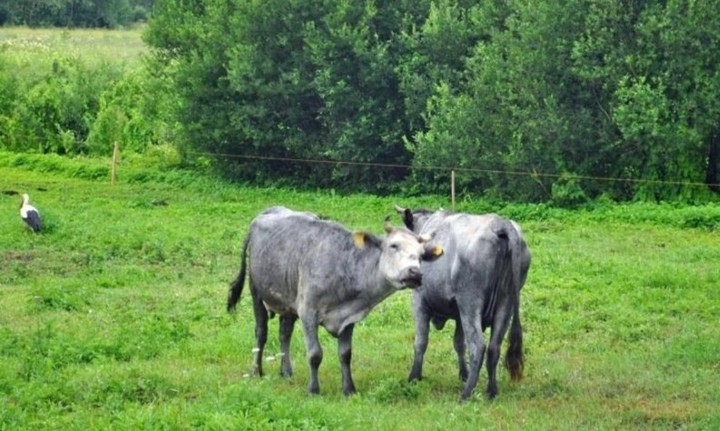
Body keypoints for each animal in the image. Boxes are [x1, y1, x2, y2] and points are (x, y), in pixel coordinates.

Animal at [227, 206, 444, 396]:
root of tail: (266, 212)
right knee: (261, 333)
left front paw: (349, 389)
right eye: (394, 245)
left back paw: (286, 371)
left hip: (288, 301)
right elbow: (315, 354)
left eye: (421, 255)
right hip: (256, 291)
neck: (343, 264)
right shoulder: (308, 312)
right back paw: (256, 370)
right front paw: (313, 390)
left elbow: (345, 354)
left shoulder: (349, 317)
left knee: (284, 334)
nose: (415, 273)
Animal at [395, 205, 531, 401]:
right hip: (506, 304)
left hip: (471, 303)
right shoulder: (459, 314)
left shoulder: (419, 301)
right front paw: (463, 374)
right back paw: (491, 391)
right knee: (494, 348)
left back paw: (466, 394)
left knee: (478, 345)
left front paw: (414, 377)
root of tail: (500, 224)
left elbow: (421, 341)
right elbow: (459, 343)